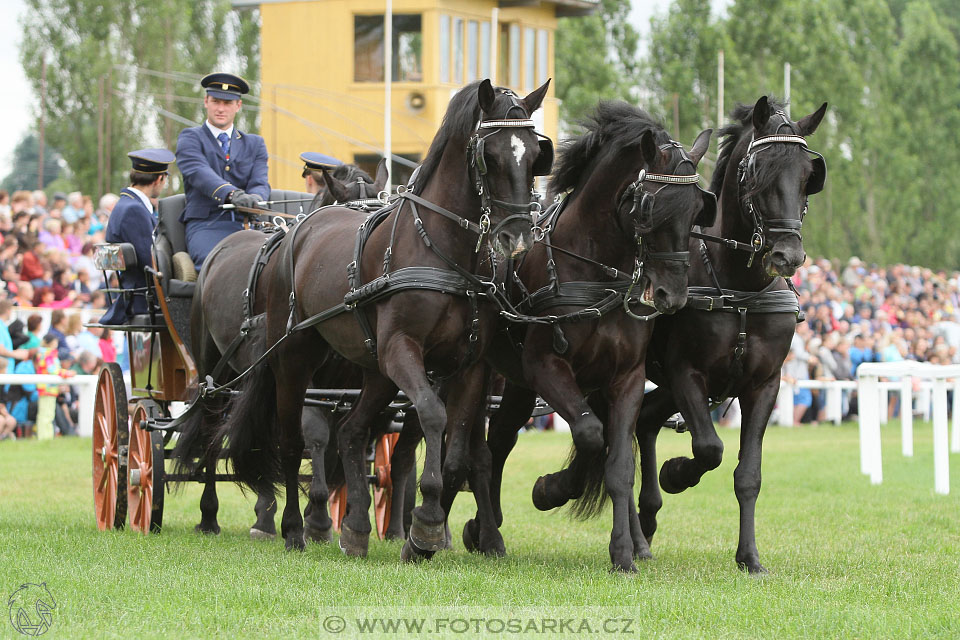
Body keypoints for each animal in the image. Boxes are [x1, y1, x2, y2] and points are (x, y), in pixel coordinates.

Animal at [171, 162, 388, 544]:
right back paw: (211, 515)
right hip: (215, 370)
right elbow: (314, 435)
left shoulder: (341, 381)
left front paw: (325, 513)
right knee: (213, 431)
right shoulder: (303, 375)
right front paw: (317, 516)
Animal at [214, 80, 552, 556]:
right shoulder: (403, 351)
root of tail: (292, 232)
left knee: (352, 431)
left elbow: (459, 449)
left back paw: (355, 529)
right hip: (296, 358)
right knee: (291, 440)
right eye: (490, 154)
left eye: (536, 153)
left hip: (375, 369)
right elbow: (433, 415)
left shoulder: (468, 366)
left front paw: (436, 532)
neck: (442, 251)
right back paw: (295, 528)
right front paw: (425, 524)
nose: (518, 235)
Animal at [464, 102, 712, 572]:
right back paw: (484, 532)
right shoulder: (545, 366)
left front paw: (623, 553)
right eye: (649, 208)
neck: (594, 269)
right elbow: (590, 435)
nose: (672, 296)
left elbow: (618, 463)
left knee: (501, 440)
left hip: (521, 386)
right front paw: (551, 488)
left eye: (696, 210)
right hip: (488, 374)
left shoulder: (626, 378)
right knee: (481, 448)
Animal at [528, 96, 828, 576]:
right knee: (622, 434)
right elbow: (708, 447)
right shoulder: (686, 372)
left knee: (643, 424)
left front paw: (749, 557)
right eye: (756, 172)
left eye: (807, 176)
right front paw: (676, 473)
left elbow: (748, 474)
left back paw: (643, 527)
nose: (787, 255)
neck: (740, 289)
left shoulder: (765, 383)